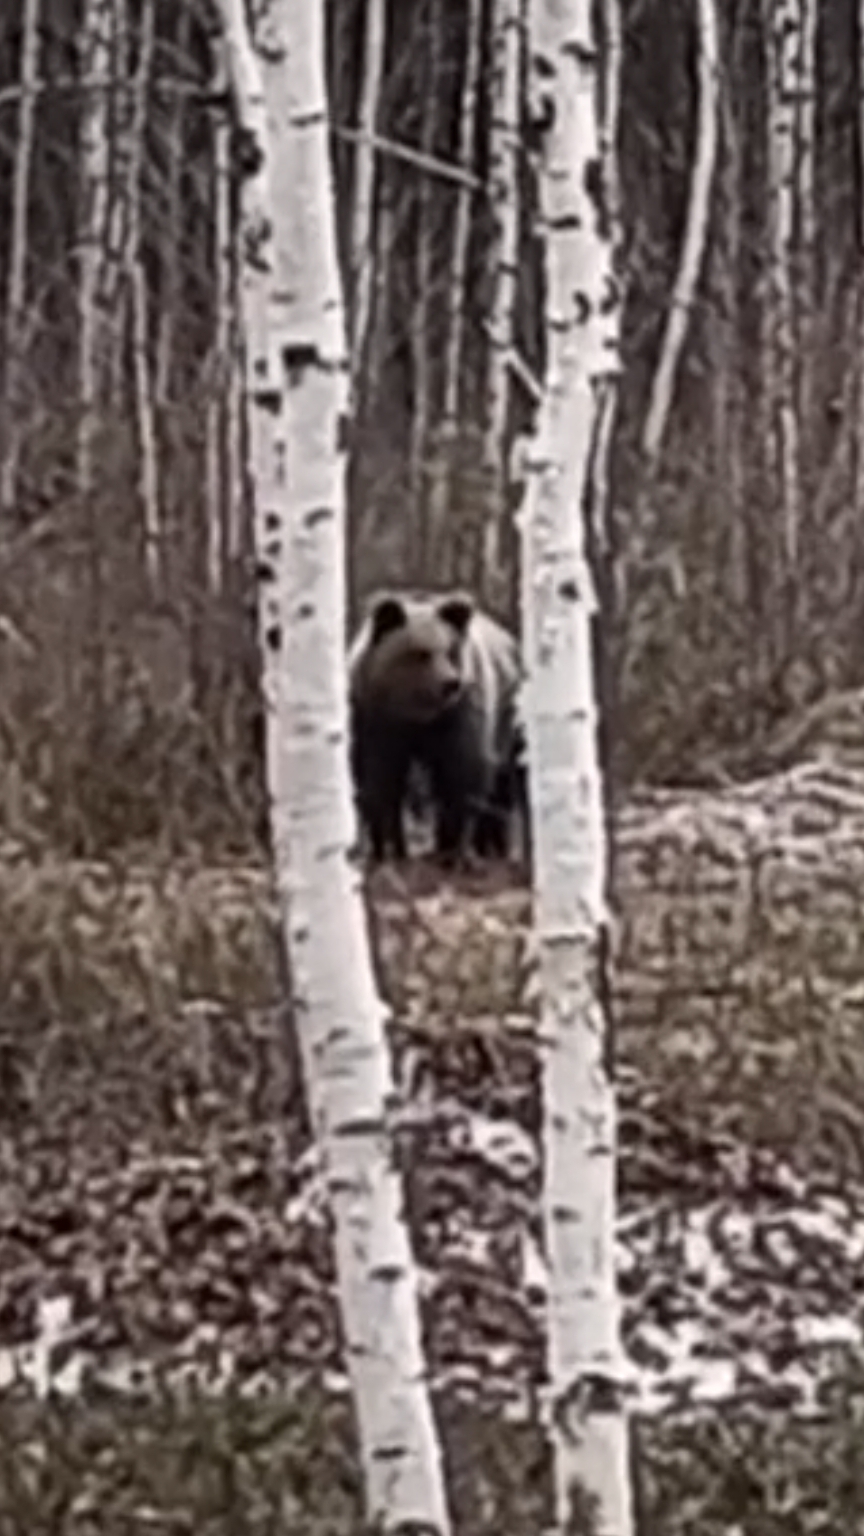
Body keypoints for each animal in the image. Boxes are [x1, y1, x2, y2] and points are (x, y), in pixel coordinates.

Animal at [347, 589, 527, 866]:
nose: (450, 683)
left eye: (450, 650)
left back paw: (490, 847)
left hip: (509, 717)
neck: (417, 714)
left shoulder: (459, 714)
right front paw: (387, 850)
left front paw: (456, 849)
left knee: (504, 782)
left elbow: (463, 770)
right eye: (421, 653)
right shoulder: (376, 719)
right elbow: (379, 775)